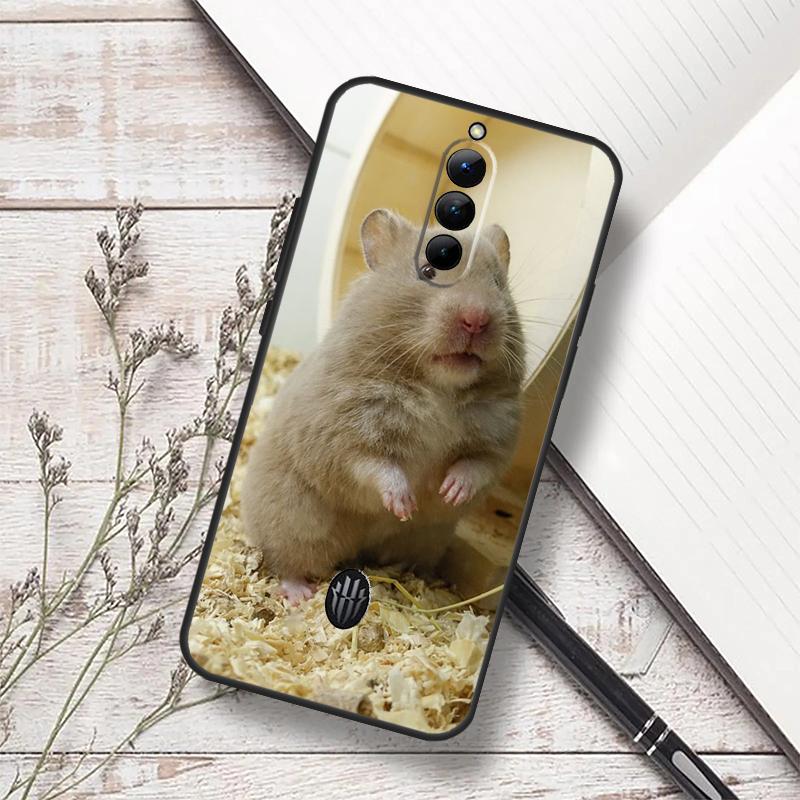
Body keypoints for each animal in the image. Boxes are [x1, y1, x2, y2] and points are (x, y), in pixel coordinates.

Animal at [240, 208, 526, 603]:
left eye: (498, 283)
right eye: (428, 271)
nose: (477, 319)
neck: (441, 389)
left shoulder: (498, 434)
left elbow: (476, 465)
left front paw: (450, 492)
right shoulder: (345, 430)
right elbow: (376, 465)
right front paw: (405, 504)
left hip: (425, 540)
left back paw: (422, 584)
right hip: (293, 523)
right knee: (286, 561)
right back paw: (301, 594)